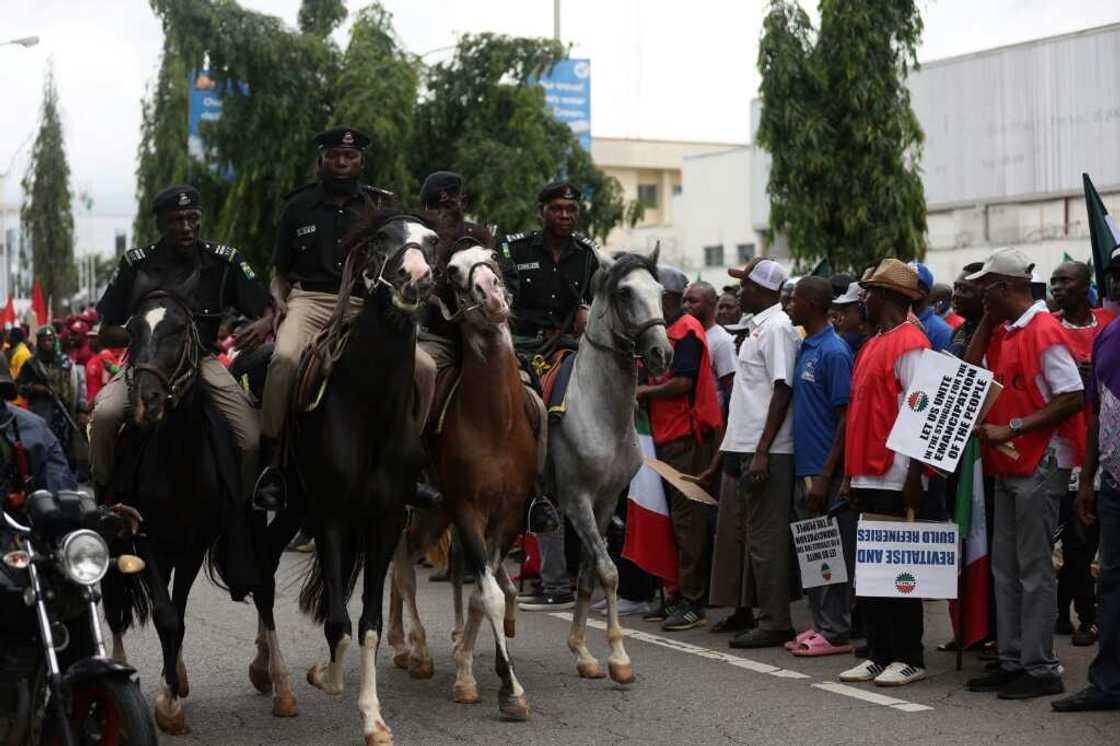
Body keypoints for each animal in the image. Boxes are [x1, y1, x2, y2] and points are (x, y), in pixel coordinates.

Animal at [99, 283, 297, 730]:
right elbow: (165, 614)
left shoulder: (193, 544)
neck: (178, 461)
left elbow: (180, 614)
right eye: (133, 331)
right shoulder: (145, 539)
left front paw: (171, 692)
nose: (148, 399)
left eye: (178, 329)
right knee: (116, 604)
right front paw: (168, 702)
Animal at [282, 209, 434, 743]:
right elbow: (338, 622)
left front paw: (373, 716)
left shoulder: (384, 522)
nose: (416, 276)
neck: (367, 412)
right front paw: (325, 677)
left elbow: (367, 622)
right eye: (382, 240)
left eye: (433, 241)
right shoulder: (329, 518)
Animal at [389, 245, 542, 721]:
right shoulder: (467, 510)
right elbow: (488, 594)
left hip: (435, 515)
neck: (496, 421)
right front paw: (508, 689)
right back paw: (414, 650)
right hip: (419, 510)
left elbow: (481, 591)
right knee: (401, 565)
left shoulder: (507, 517)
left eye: (493, 257)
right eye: (453, 272)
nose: (492, 296)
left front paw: (469, 665)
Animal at [546, 246, 667, 681]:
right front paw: (618, 656)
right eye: (625, 293)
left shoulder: (605, 500)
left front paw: (584, 652)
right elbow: (609, 570)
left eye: (661, 292)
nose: (662, 353)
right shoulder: (575, 499)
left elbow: (589, 573)